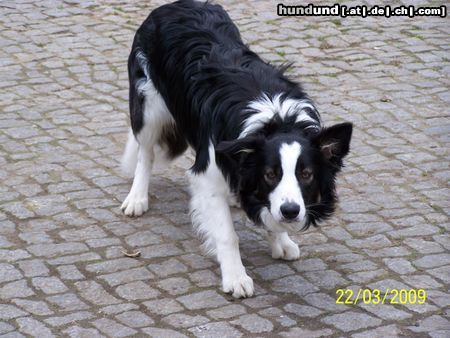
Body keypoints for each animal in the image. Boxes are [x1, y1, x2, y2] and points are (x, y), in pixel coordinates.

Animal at [121, 0, 354, 298]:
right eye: (270, 174)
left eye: (306, 174)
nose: (291, 211)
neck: (276, 121)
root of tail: (174, 5)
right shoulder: (207, 174)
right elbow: (226, 235)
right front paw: (235, 277)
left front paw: (280, 239)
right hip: (149, 106)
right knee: (145, 153)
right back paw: (137, 198)